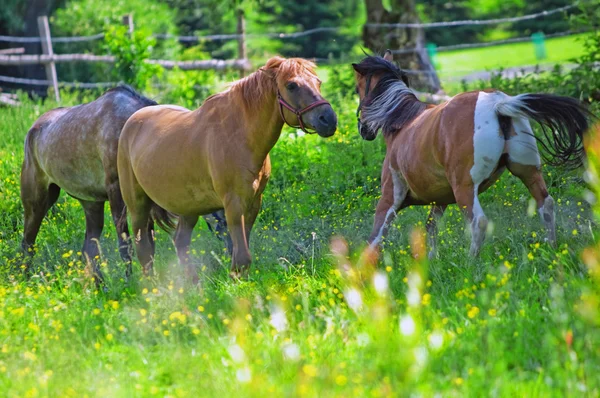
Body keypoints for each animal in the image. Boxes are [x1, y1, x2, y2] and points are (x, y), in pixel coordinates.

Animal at [117, 56, 338, 280]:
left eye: (318, 82)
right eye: (291, 85)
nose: (328, 119)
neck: (239, 135)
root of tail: (132, 122)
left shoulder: (253, 202)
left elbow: (239, 252)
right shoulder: (234, 203)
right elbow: (241, 256)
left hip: (189, 206)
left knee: (180, 242)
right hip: (137, 205)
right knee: (143, 248)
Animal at [352, 52, 592, 258]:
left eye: (358, 88)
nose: (364, 130)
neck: (402, 123)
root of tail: (498, 104)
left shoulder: (390, 198)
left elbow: (376, 238)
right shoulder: (439, 200)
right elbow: (431, 228)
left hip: (465, 188)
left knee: (479, 222)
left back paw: (471, 263)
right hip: (528, 173)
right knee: (546, 205)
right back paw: (552, 247)